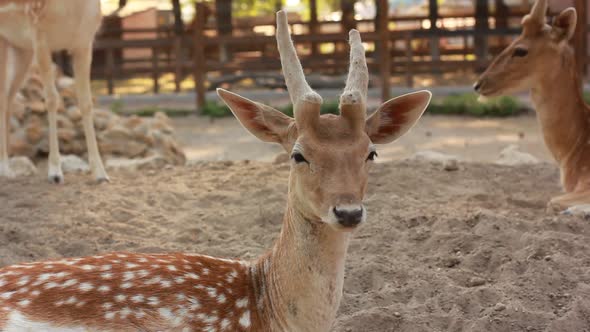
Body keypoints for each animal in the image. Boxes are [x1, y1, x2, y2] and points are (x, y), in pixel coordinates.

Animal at [0, 0, 108, 183]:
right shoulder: (40, 38)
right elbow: (51, 99)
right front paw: (55, 172)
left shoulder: (84, 44)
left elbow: (86, 103)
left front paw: (101, 174)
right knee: (2, 99)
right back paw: (4, 169)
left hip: (22, 50)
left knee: (8, 100)